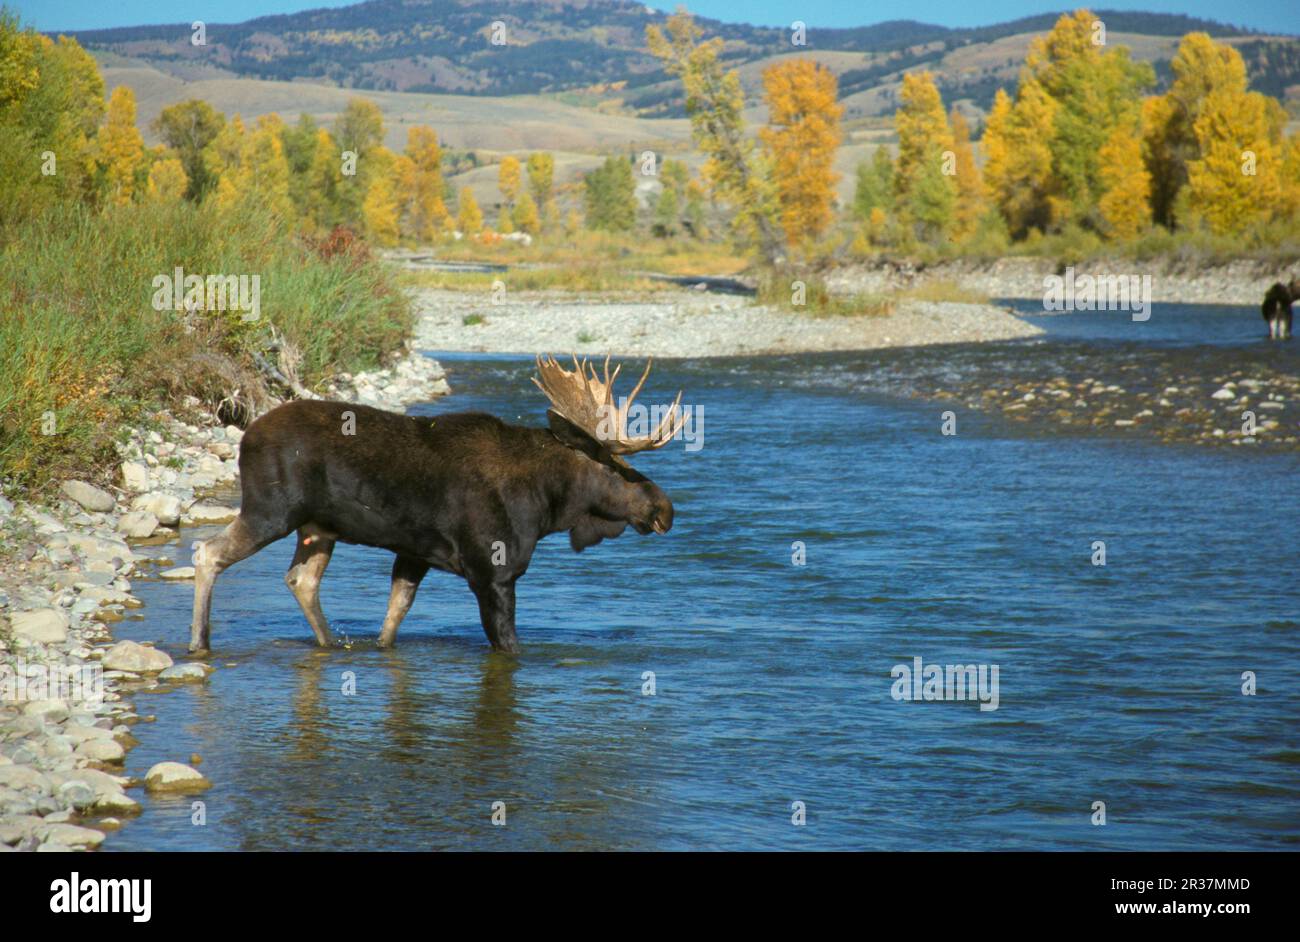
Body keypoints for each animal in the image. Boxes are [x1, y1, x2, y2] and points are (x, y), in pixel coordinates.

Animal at [188, 355, 685, 655]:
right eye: (617, 467)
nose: (665, 508)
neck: (545, 507)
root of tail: (245, 437)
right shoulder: (493, 572)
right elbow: (509, 646)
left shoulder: (414, 553)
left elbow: (392, 621)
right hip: (270, 510)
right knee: (208, 552)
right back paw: (200, 642)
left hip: (317, 528)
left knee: (301, 581)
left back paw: (328, 642)